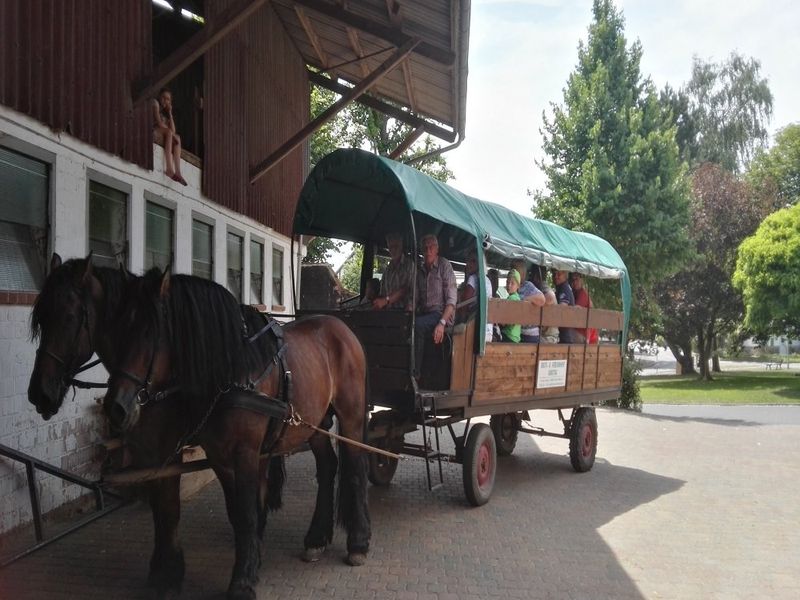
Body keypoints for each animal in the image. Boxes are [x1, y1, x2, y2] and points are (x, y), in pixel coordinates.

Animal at [102, 268, 372, 600]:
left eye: (149, 334)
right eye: (120, 331)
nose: (116, 407)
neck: (232, 374)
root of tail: (342, 329)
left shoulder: (244, 453)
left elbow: (246, 513)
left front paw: (242, 581)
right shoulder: (220, 457)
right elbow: (237, 512)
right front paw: (252, 562)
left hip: (352, 415)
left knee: (355, 468)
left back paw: (358, 542)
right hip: (314, 422)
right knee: (328, 466)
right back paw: (316, 538)